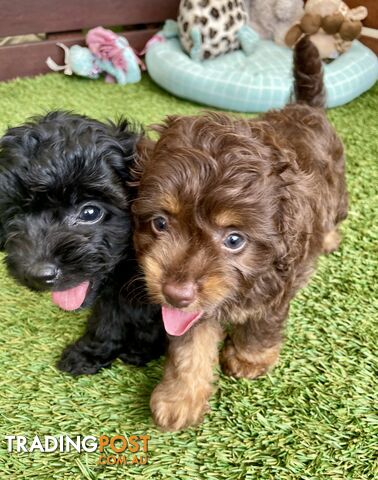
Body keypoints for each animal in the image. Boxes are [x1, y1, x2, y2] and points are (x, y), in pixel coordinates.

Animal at [0, 111, 165, 376]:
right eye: (15, 215)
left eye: (90, 212)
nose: (38, 275)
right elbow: (107, 323)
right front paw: (89, 354)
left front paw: (141, 350)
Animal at [133, 35, 348, 430]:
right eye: (160, 223)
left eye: (234, 240)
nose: (175, 293)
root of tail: (306, 107)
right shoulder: (196, 307)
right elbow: (190, 344)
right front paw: (180, 397)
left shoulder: (275, 289)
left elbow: (260, 326)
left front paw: (250, 358)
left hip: (339, 189)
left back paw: (328, 239)